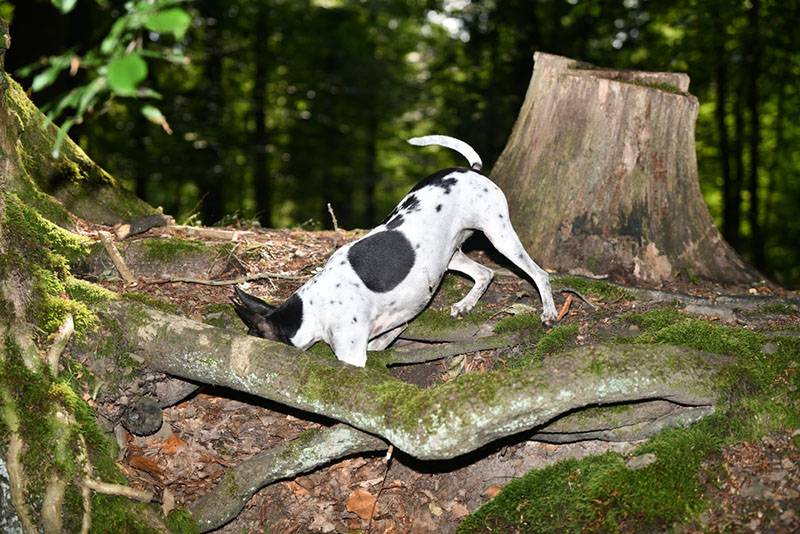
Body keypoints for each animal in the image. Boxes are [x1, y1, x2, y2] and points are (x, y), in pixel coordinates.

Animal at [231, 135, 556, 368]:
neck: (313, 307)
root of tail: (471, 170)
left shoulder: (353, 356)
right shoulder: (394, 322)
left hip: (500, 237)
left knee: (539, 274)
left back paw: (549, 312)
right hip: (450, 256)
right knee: (485, 273)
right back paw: (465, 304)